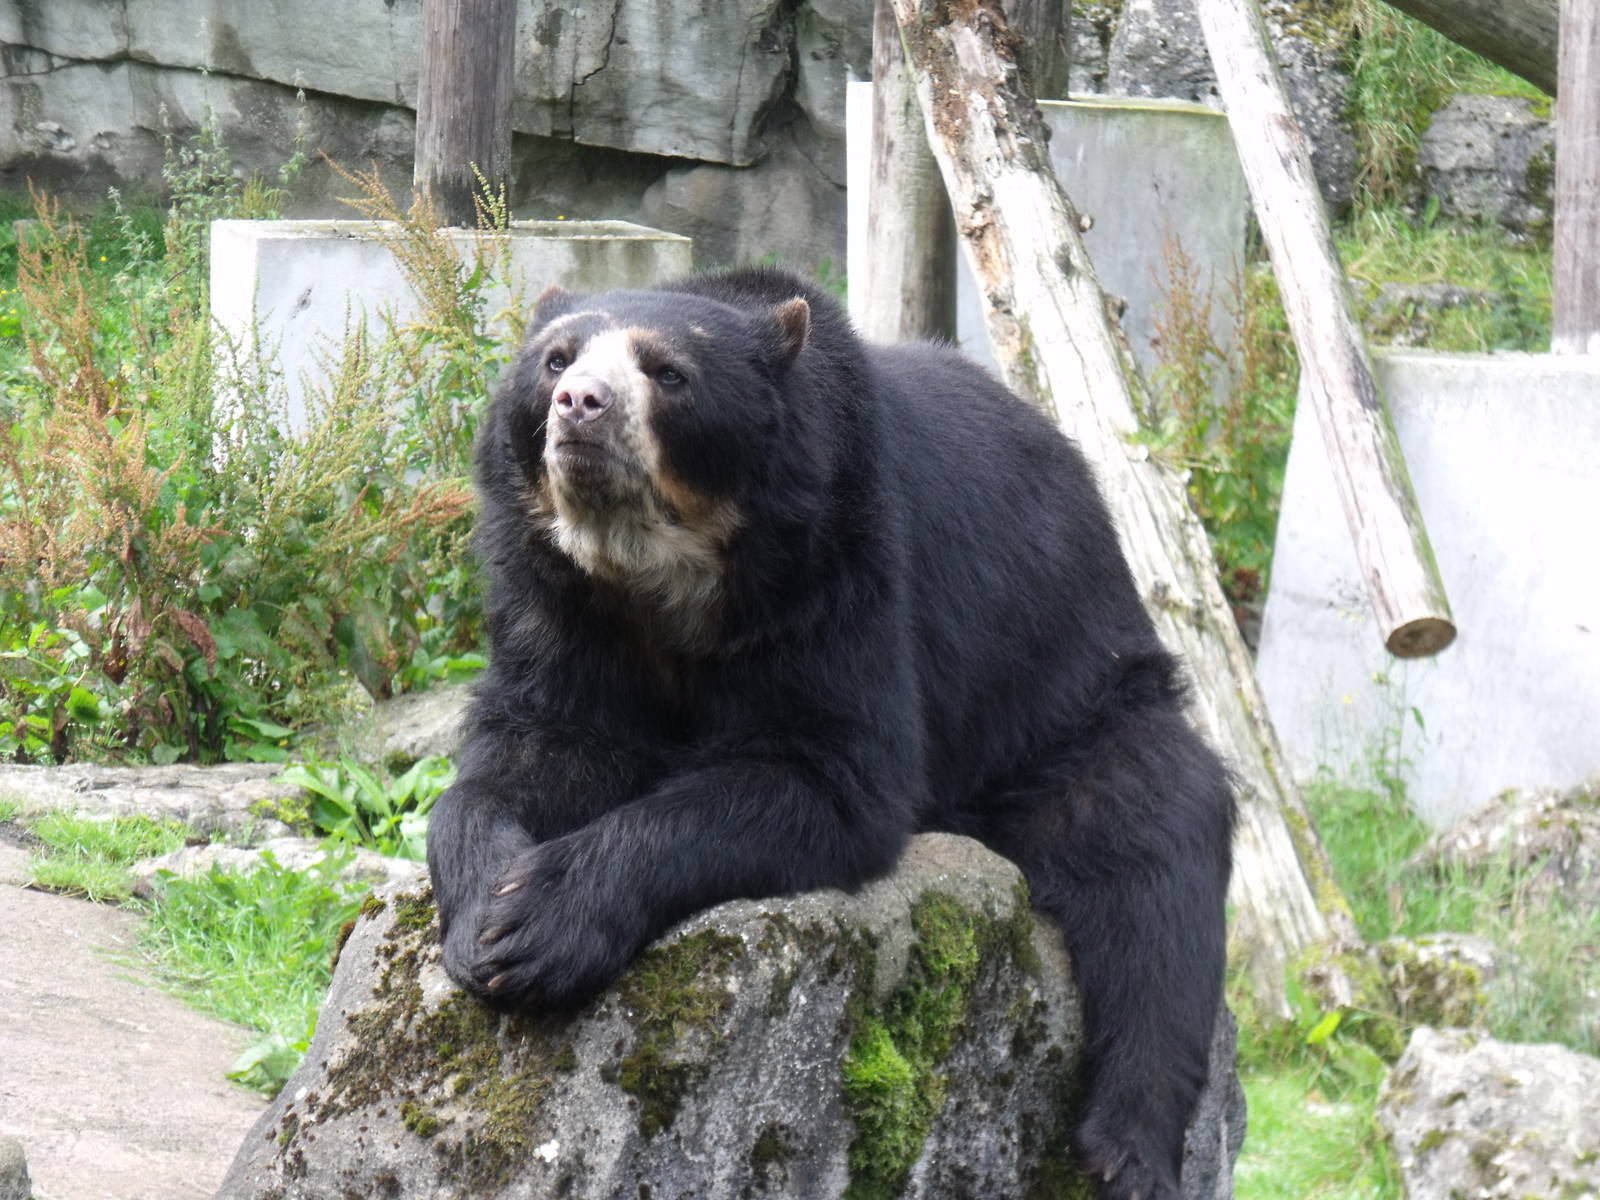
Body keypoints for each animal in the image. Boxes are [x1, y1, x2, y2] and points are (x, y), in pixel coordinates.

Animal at [427, 265, 1235, 1200]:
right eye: (555, 358)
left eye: (668, 373)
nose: (579, 403)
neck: (658, 574)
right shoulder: (553, 600)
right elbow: (535, 744)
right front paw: (486, 916)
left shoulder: (837, 566)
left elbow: (830, 775)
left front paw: (541, 925)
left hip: (1070, 700)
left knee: (1152, 865)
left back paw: (1126, 1152)